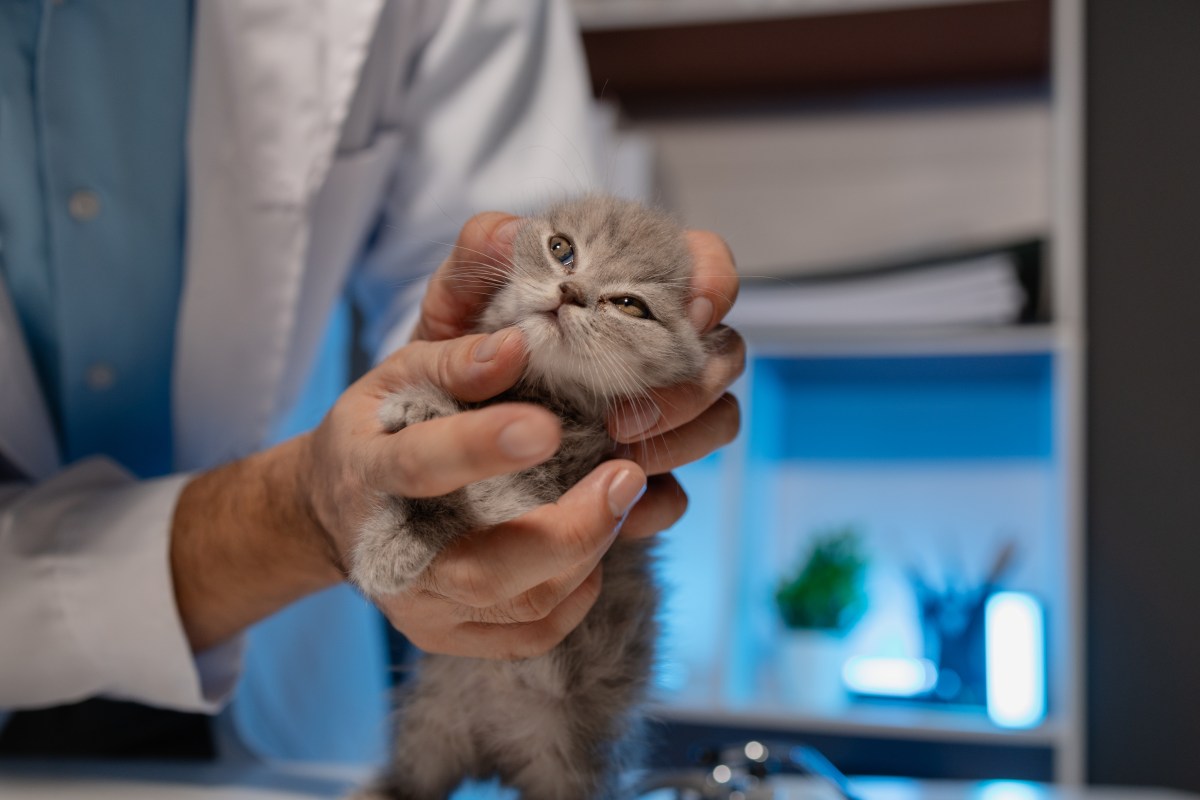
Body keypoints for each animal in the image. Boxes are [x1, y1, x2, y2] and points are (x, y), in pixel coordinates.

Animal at [348, 195, 720, 800]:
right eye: (561, 249)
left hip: (572, 755)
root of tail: (495, 751)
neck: (540, 393)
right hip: (431, 719)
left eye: (629, 305)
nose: (570, 291)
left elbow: (472, 492)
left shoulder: (543, 493)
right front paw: (421, 404)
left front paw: (393, 543)